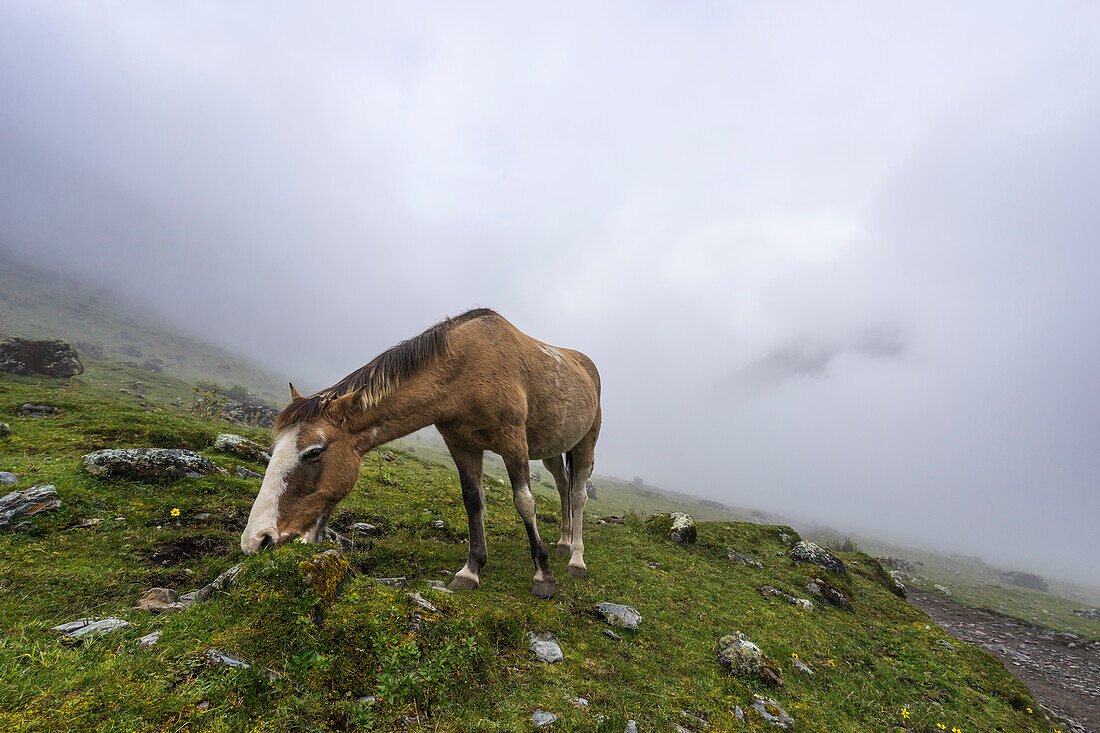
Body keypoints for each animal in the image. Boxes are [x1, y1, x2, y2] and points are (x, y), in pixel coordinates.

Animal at [238, 305, 602, 598]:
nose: (256, 539)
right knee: (563, 485)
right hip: (552, 449)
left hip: (586, 441)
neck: (467, 366)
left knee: (578, 493)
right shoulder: (461, 444)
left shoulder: (513, 441)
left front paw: (543, 575)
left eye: (313, 452)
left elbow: (524, 501)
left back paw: (576, 559)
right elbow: (473, 501)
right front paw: (471, 570)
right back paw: (564, 542)